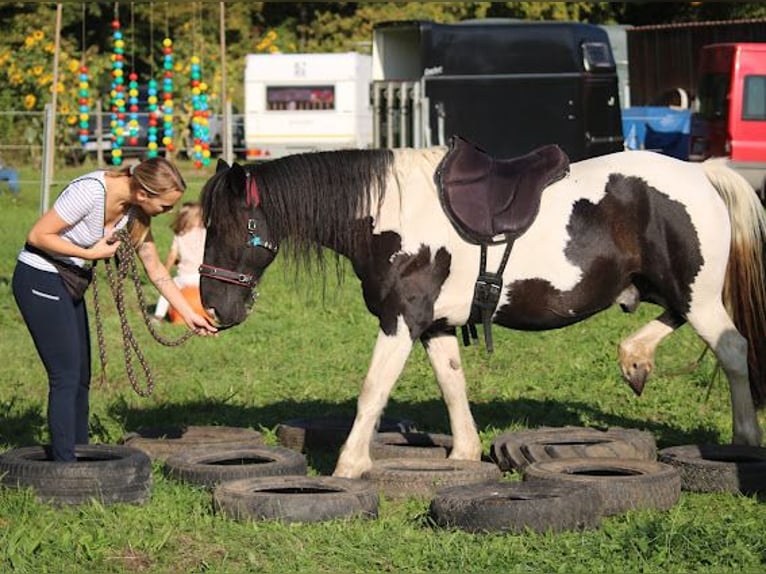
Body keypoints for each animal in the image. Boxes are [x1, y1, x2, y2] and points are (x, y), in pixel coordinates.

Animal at [198, 142, 766, 479]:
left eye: (231, 228)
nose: (214, 309)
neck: (387, 214)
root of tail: (701, 174)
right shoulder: (434, 325)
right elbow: (453, 384)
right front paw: (465, 455)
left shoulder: (401, 320)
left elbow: (372, 392)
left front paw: (349, 466)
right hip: (666, 289)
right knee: (677, 323)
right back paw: (635, 358)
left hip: (696, 294)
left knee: (733, 351)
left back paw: (744, 440)